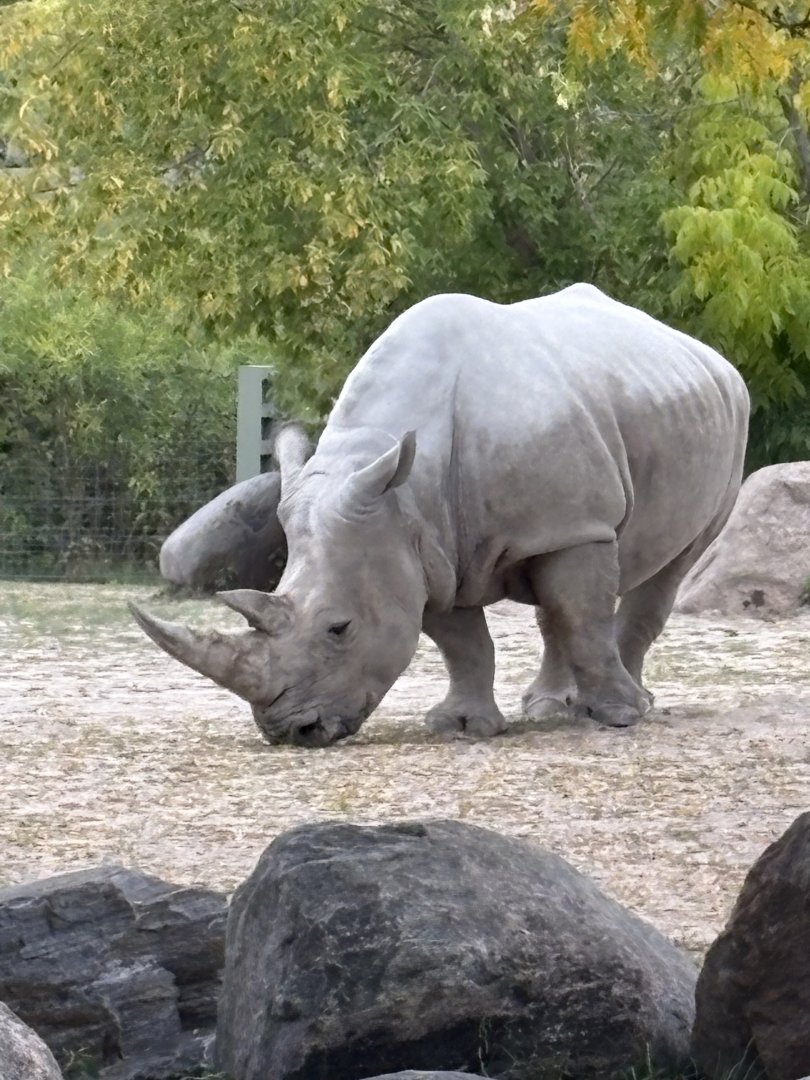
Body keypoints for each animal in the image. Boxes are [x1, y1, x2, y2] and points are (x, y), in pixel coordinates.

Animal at [131, 285, 749, 747]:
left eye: (339, 628)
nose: (292, 731)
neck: (399, 489)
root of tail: (706, 353)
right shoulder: (419, 548)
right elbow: (462, 641)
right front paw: (461, 727)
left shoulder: (574, 523)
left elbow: (582, 614)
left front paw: (620, 718)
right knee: (555, 601)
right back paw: (551, 709)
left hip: (729, 420)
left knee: (665, 569)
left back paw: (629, 703)